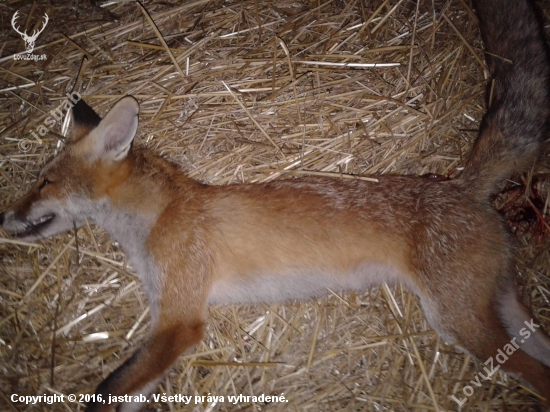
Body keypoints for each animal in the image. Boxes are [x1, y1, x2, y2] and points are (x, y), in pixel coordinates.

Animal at [1, 0, 550, 412]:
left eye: (44, 181)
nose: (5, 217)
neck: (158, 220)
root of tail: (460, 186)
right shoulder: (167, 324)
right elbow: (131, 391)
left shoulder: (181, 320)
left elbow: (106, 390)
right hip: (503, 313)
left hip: (460, 322)